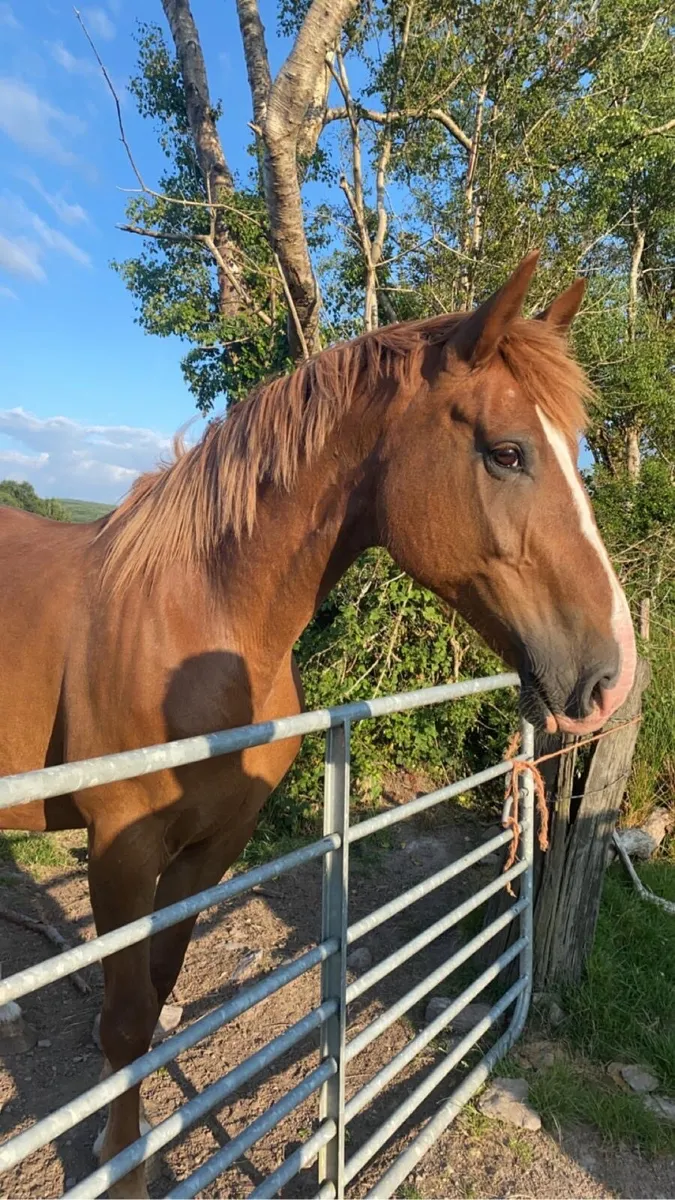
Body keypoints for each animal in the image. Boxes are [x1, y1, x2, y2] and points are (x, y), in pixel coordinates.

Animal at [0, 251, 636, 1196]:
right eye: (506, 452)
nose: (612, 674)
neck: (198, 616)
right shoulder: (119, 851)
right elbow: (123, 1026)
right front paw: (120, 1166)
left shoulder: (211, 846)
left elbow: (154, 1000)